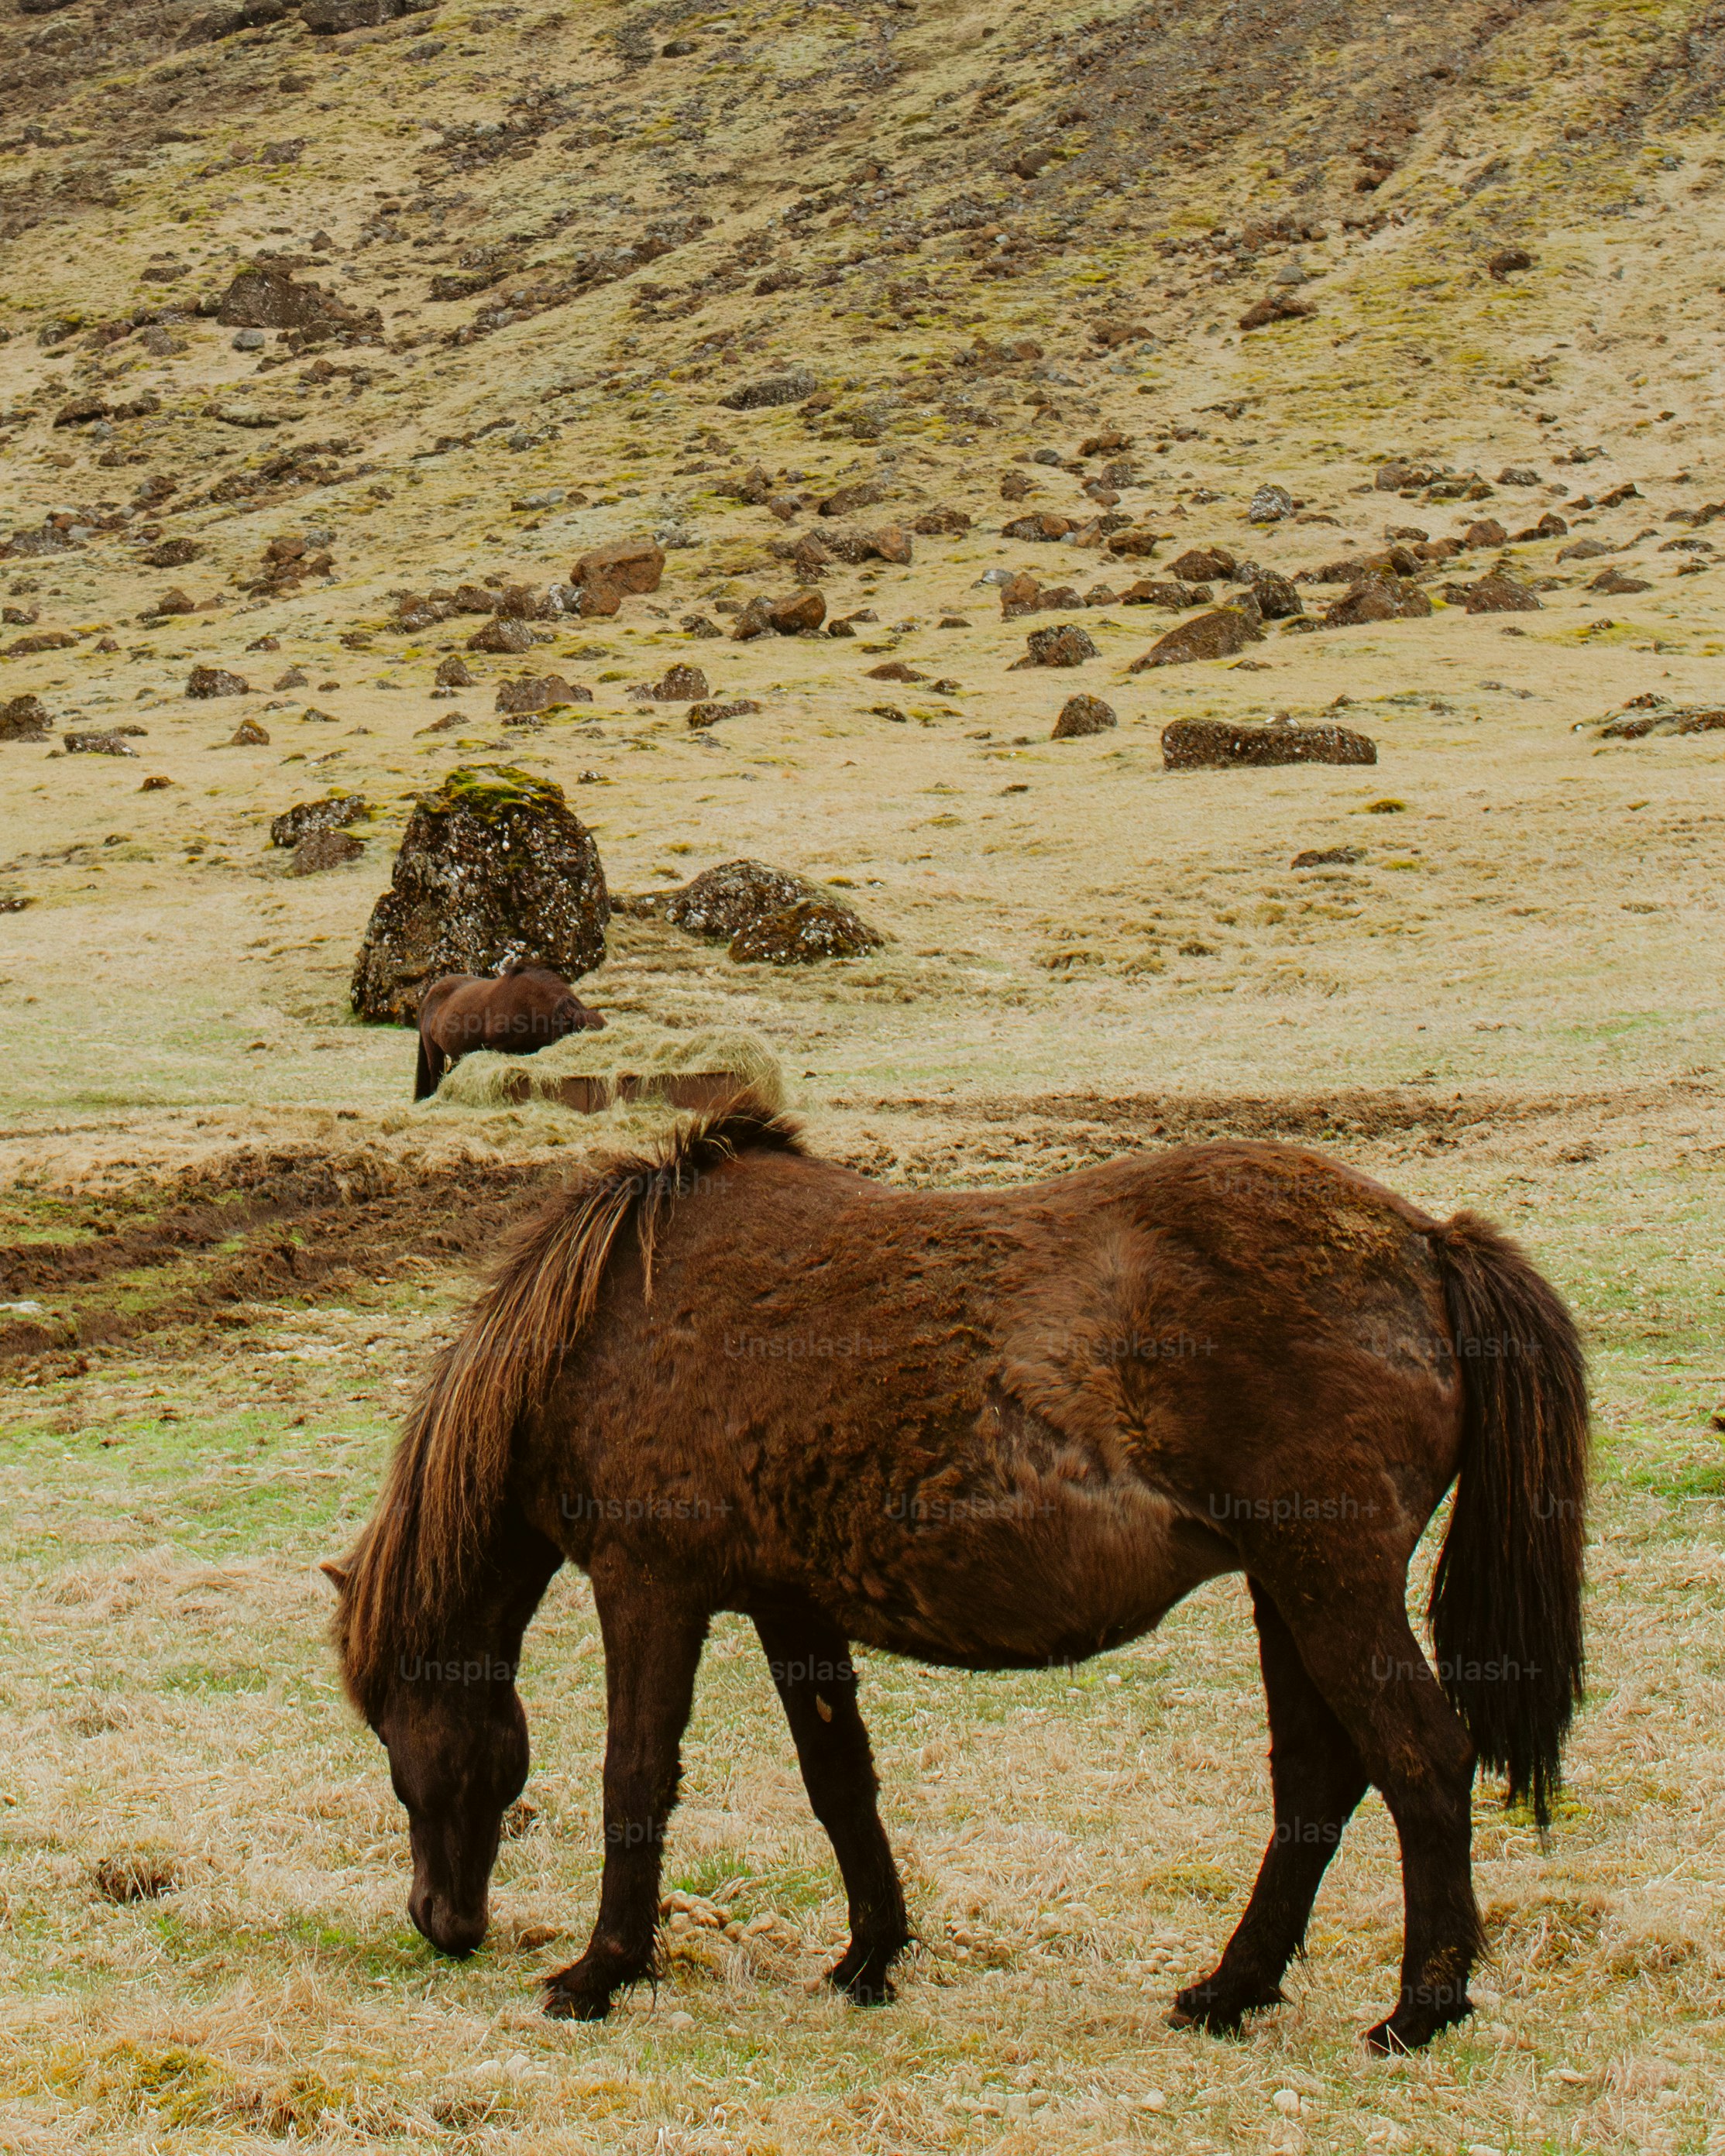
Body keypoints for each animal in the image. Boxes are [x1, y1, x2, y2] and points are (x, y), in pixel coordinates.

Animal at [327, 1101, 1588, 2054]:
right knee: (1318, 1783)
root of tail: (1425, 1243)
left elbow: (633, 1781)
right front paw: (869, 1955)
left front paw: (600, 1973)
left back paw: (1418, 2009)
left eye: (395, 1741)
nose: (440, 1923)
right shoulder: (789, 1606)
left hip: (1329, 1582)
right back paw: (1228, 1990)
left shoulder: (650, 1589)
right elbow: (840, 1782)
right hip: (1288, 1590)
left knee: (1420, 1761)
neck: (604, 1326)